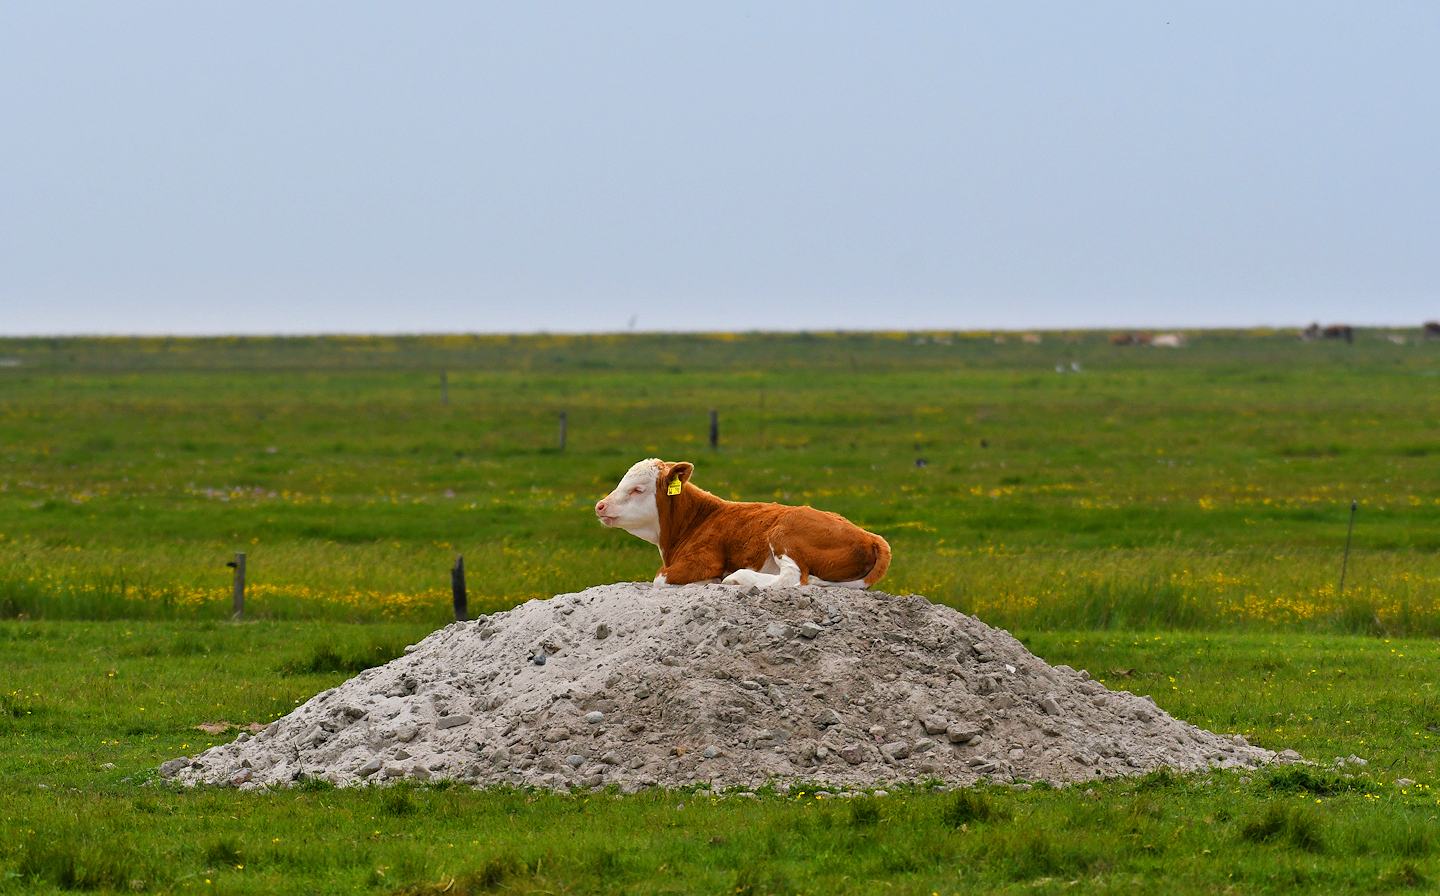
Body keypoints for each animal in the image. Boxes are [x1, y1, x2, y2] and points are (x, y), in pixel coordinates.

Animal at [593, 460, 887, 593]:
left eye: (637, 489)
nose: (600, 506)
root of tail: (869, 536)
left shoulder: (705, 558)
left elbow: (660, 578)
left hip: (784, 532)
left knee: (793, 577)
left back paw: (738, 578)